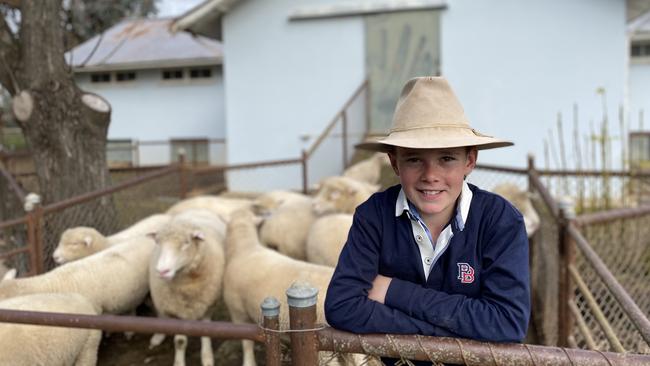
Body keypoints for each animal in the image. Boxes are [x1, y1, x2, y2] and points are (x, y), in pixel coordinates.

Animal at [148, 209, 227, 366]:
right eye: (158, 242)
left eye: (186, 242)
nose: (162, 271)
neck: (187, 287)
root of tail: (198, 209)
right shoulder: (175, 311)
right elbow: (180, 341)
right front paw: (179, 362)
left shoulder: (208, 306)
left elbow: (206, 331)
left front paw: (207, 357)